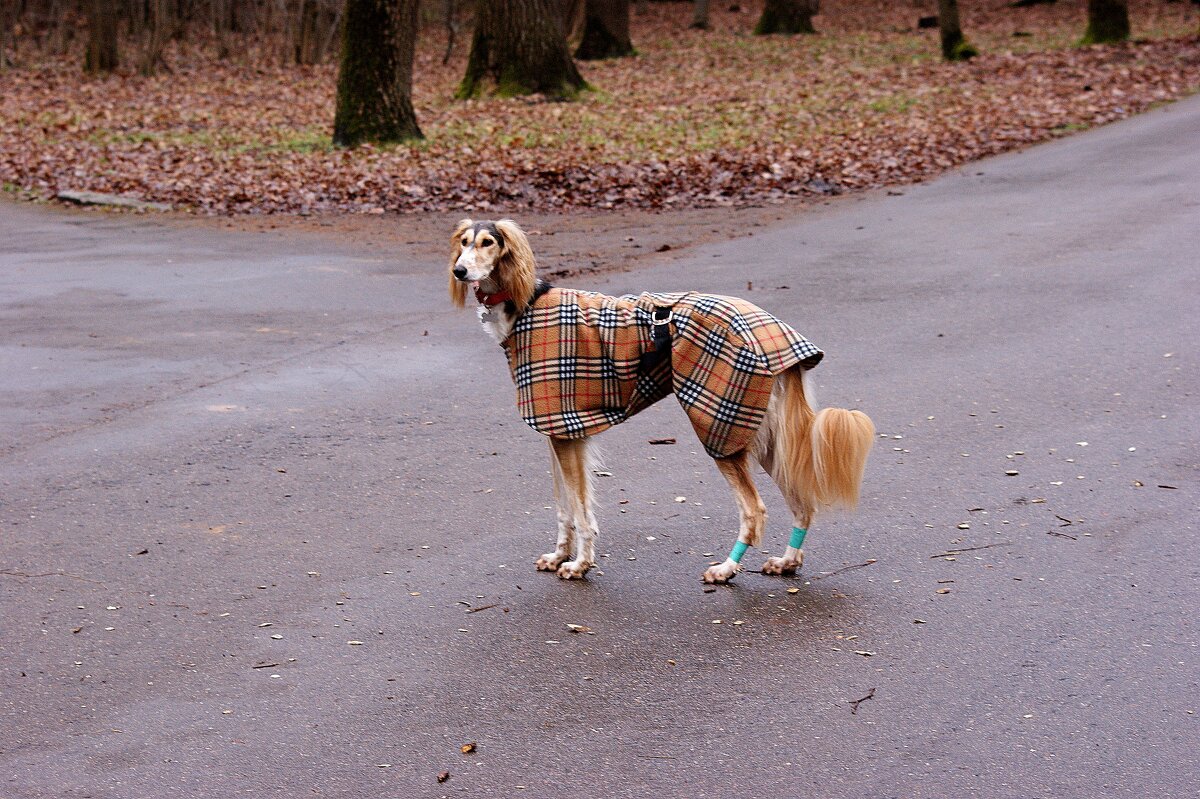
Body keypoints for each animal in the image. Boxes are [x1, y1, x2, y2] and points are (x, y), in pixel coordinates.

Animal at [448, 220, 873, 583]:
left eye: (487, 243)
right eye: (463, 242)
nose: (459, 271)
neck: (525, 306)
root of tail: (776, 327)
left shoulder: (566, 430)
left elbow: (582, 512)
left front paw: (580, 564)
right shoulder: (558, 432)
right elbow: (563, 508)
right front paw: (558, 556)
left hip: (721, 427)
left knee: (754, 511)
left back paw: (727, 568)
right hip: (763, 436)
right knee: (802, 503)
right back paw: (787, 561)